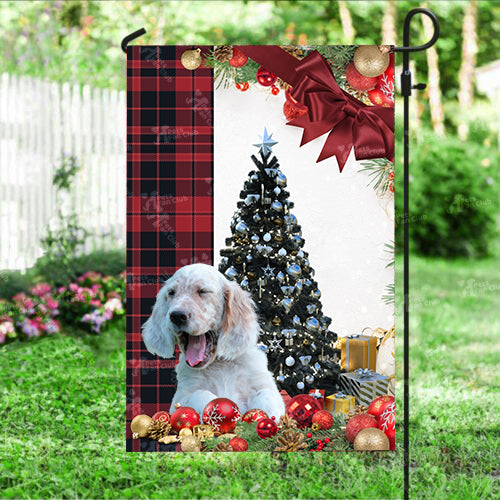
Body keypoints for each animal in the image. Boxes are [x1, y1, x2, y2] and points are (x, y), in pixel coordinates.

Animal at [143, 264, 288, 420]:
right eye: (171, 293)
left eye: (203, 291)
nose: (177, 316)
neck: (220, 364)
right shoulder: (181, 396)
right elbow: (200, 395)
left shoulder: (264, 384)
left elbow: (267, 395)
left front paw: (265, 417)